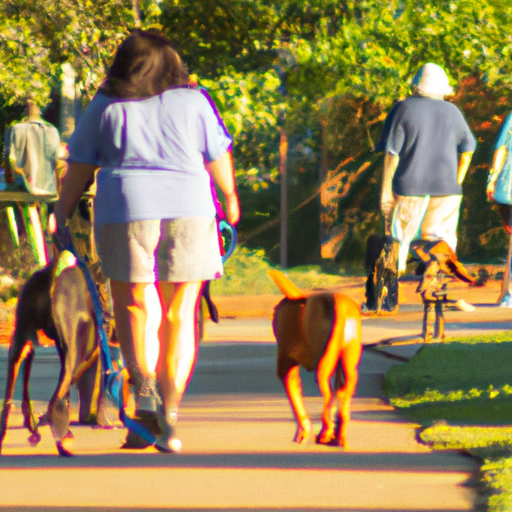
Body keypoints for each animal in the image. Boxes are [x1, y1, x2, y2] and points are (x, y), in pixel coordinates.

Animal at [270, 270, 362, 446]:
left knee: (329, 396)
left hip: (322, 369)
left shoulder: (286, 367)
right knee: (342, 394)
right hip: (347, 365)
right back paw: (339, 434)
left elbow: (296, 403)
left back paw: (326, 433)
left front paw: (303, 433)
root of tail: (340, 306)